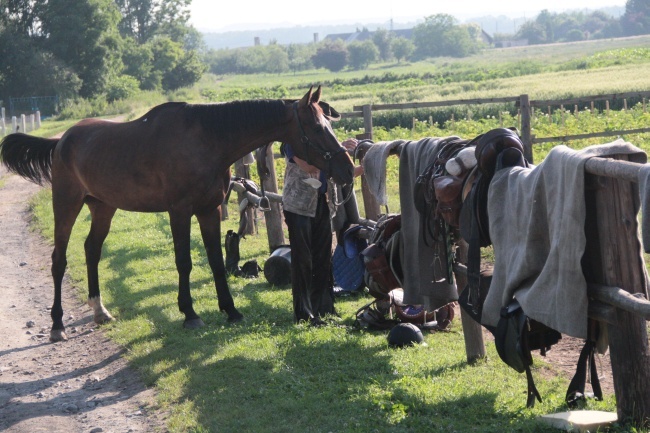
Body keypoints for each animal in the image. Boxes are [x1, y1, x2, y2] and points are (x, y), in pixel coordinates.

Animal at [1, 85, 354, 340]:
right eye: (316, 127)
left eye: (328, 123)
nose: (347, 168)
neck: (206, 140)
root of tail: (62, 141)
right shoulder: (180, 211)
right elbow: (184, 261)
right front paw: (190, 314)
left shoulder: (209, 210)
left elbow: (216, 261)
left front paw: (231, 310)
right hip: (66, 204)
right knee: (59, 260)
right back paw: (57, 325)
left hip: (103, 207)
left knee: (91, 250)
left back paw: (100, 310)